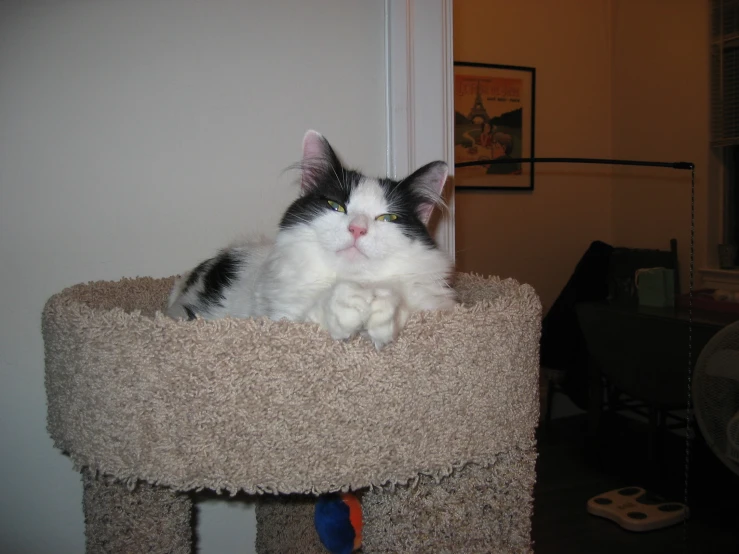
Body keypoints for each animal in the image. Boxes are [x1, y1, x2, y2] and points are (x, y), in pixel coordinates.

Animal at [167, 130, 456, 348]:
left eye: (388, 218)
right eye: (336, 206)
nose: (357, 229)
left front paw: (383, 308)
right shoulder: (280, 315)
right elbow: (315, 311)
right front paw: (348, 303)